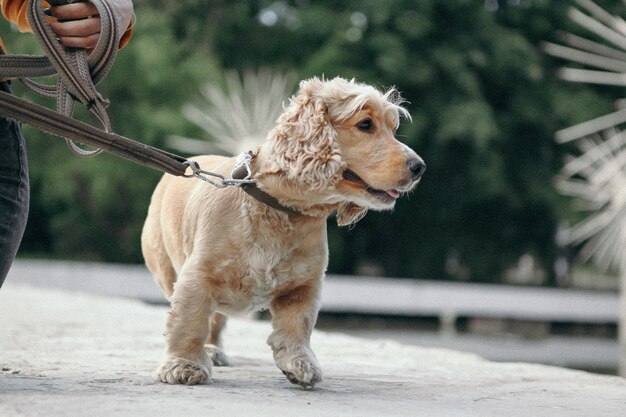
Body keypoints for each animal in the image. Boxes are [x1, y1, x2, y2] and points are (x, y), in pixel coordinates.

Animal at [141, 76, 424, 388]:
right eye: (365, 125)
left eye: (393, 129)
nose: (419, 167)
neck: (281, 211)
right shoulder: (198, 276)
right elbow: (188, 319)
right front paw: (184, 365)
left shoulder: (304, 285)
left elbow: (297, 325)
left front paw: (299, 363)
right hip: (165, 268)